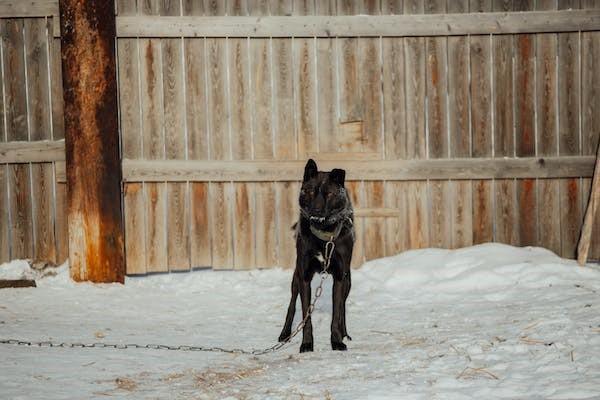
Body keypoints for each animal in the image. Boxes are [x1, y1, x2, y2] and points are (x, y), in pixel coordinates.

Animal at [278, 159, 354, 354]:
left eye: (329, 193)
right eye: (311, 191)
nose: (317, 210)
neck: (323, 234)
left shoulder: (340, 278)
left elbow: (336, 314)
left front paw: (336, 341)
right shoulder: (304, 277)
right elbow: (306, 316)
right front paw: (306, 344)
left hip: (348, 280)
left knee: (343, 307)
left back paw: (345, 333)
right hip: (296, 277)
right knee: (291, 304)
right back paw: (284, 334)